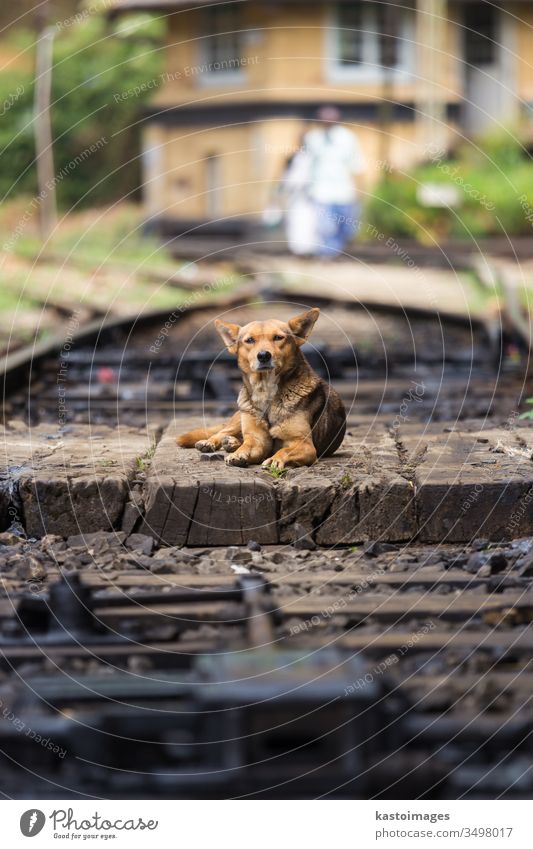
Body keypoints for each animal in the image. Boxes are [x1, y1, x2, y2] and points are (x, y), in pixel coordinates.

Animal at [177, 308, 348, 470]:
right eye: (249, 340)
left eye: (278, 337)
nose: (264, 355)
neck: (266, 391)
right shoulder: (258, 440)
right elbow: (247, 444)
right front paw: (238, 454)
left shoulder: (304, 445)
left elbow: (284, 450)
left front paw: (273, 459)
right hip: (239, 416)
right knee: (224, 432)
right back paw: (214, 442)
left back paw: (231, 443)